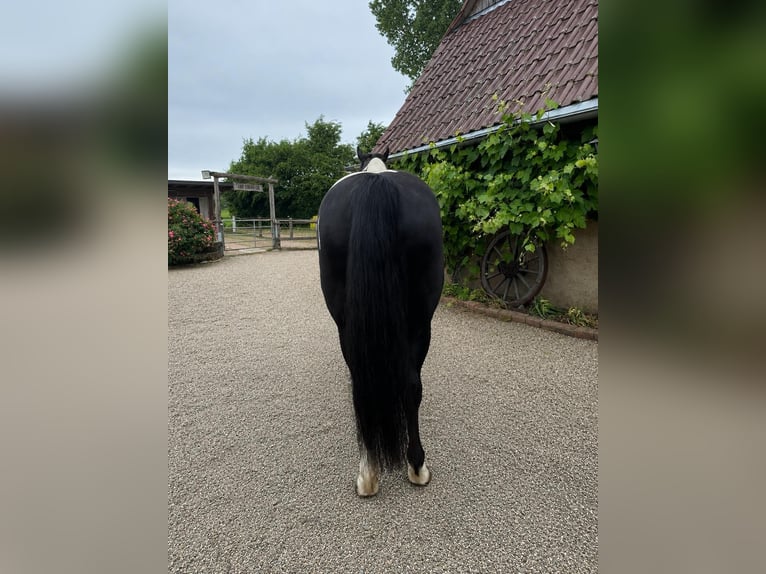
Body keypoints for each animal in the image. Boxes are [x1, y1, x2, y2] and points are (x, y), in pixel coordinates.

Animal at [317, 147, 444, 497]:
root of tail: (376, 185)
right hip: (420, 322)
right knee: (410, 386)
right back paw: (415, 467)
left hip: (349, 325)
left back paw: (370, 472)